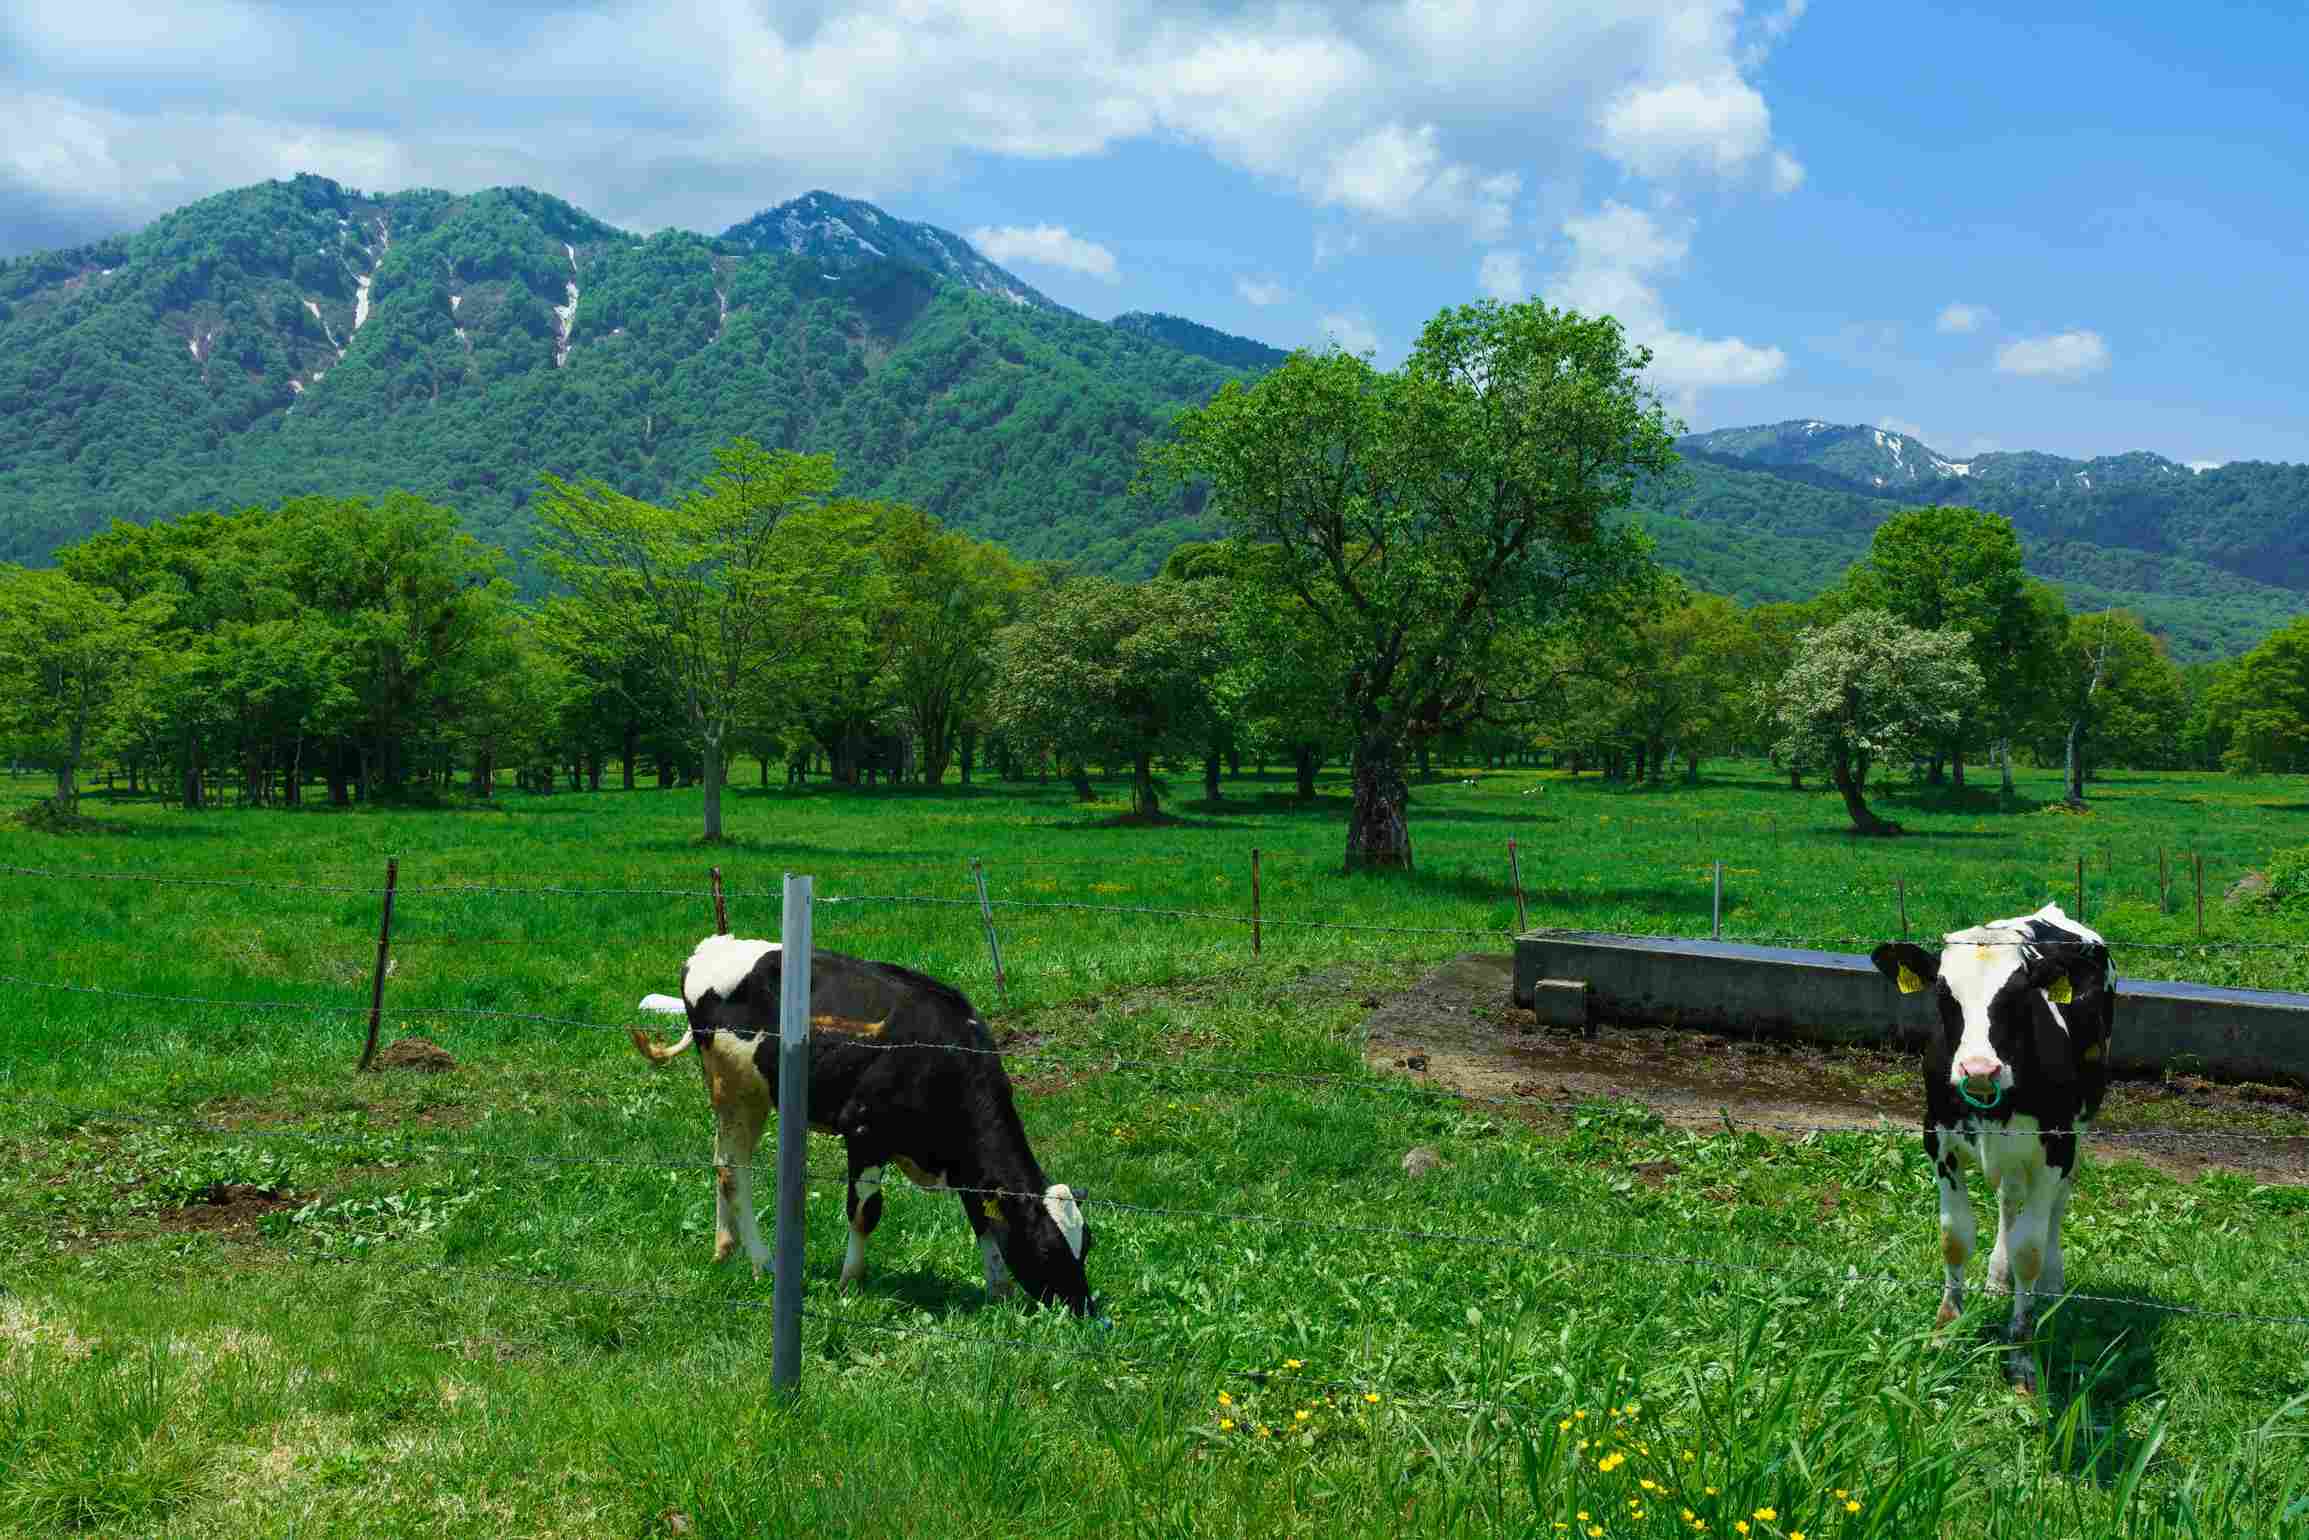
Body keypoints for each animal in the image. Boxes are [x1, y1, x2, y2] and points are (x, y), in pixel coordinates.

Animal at [632, 932, 1099, 1320]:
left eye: (1088, 1243)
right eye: (1048, 1247)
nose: (1085, 1309)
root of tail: (710, 947)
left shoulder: (965, 1164)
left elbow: (981, 1218)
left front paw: (998, 1291)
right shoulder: (864, 1134)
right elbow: (864, 1213)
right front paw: (850, 1282)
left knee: (720, 1162)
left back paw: (725, 1250)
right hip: (738, 1089)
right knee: (734, 1170)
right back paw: (763, 1262)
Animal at [1865, 895, 2115, 1394]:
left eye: (2019, 995)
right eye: (1944, 994)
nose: (1979, 1069)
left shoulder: (2056, 1145)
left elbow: (2029, 1249)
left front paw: (2021, 1353)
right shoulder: (1938, 1139)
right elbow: (1954, 1236)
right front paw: (1944, 1331)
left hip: (2078, 1129)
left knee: (2057, 1204)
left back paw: (2051, 1281)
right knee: (2006, 1198)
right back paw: (1999, 1278)